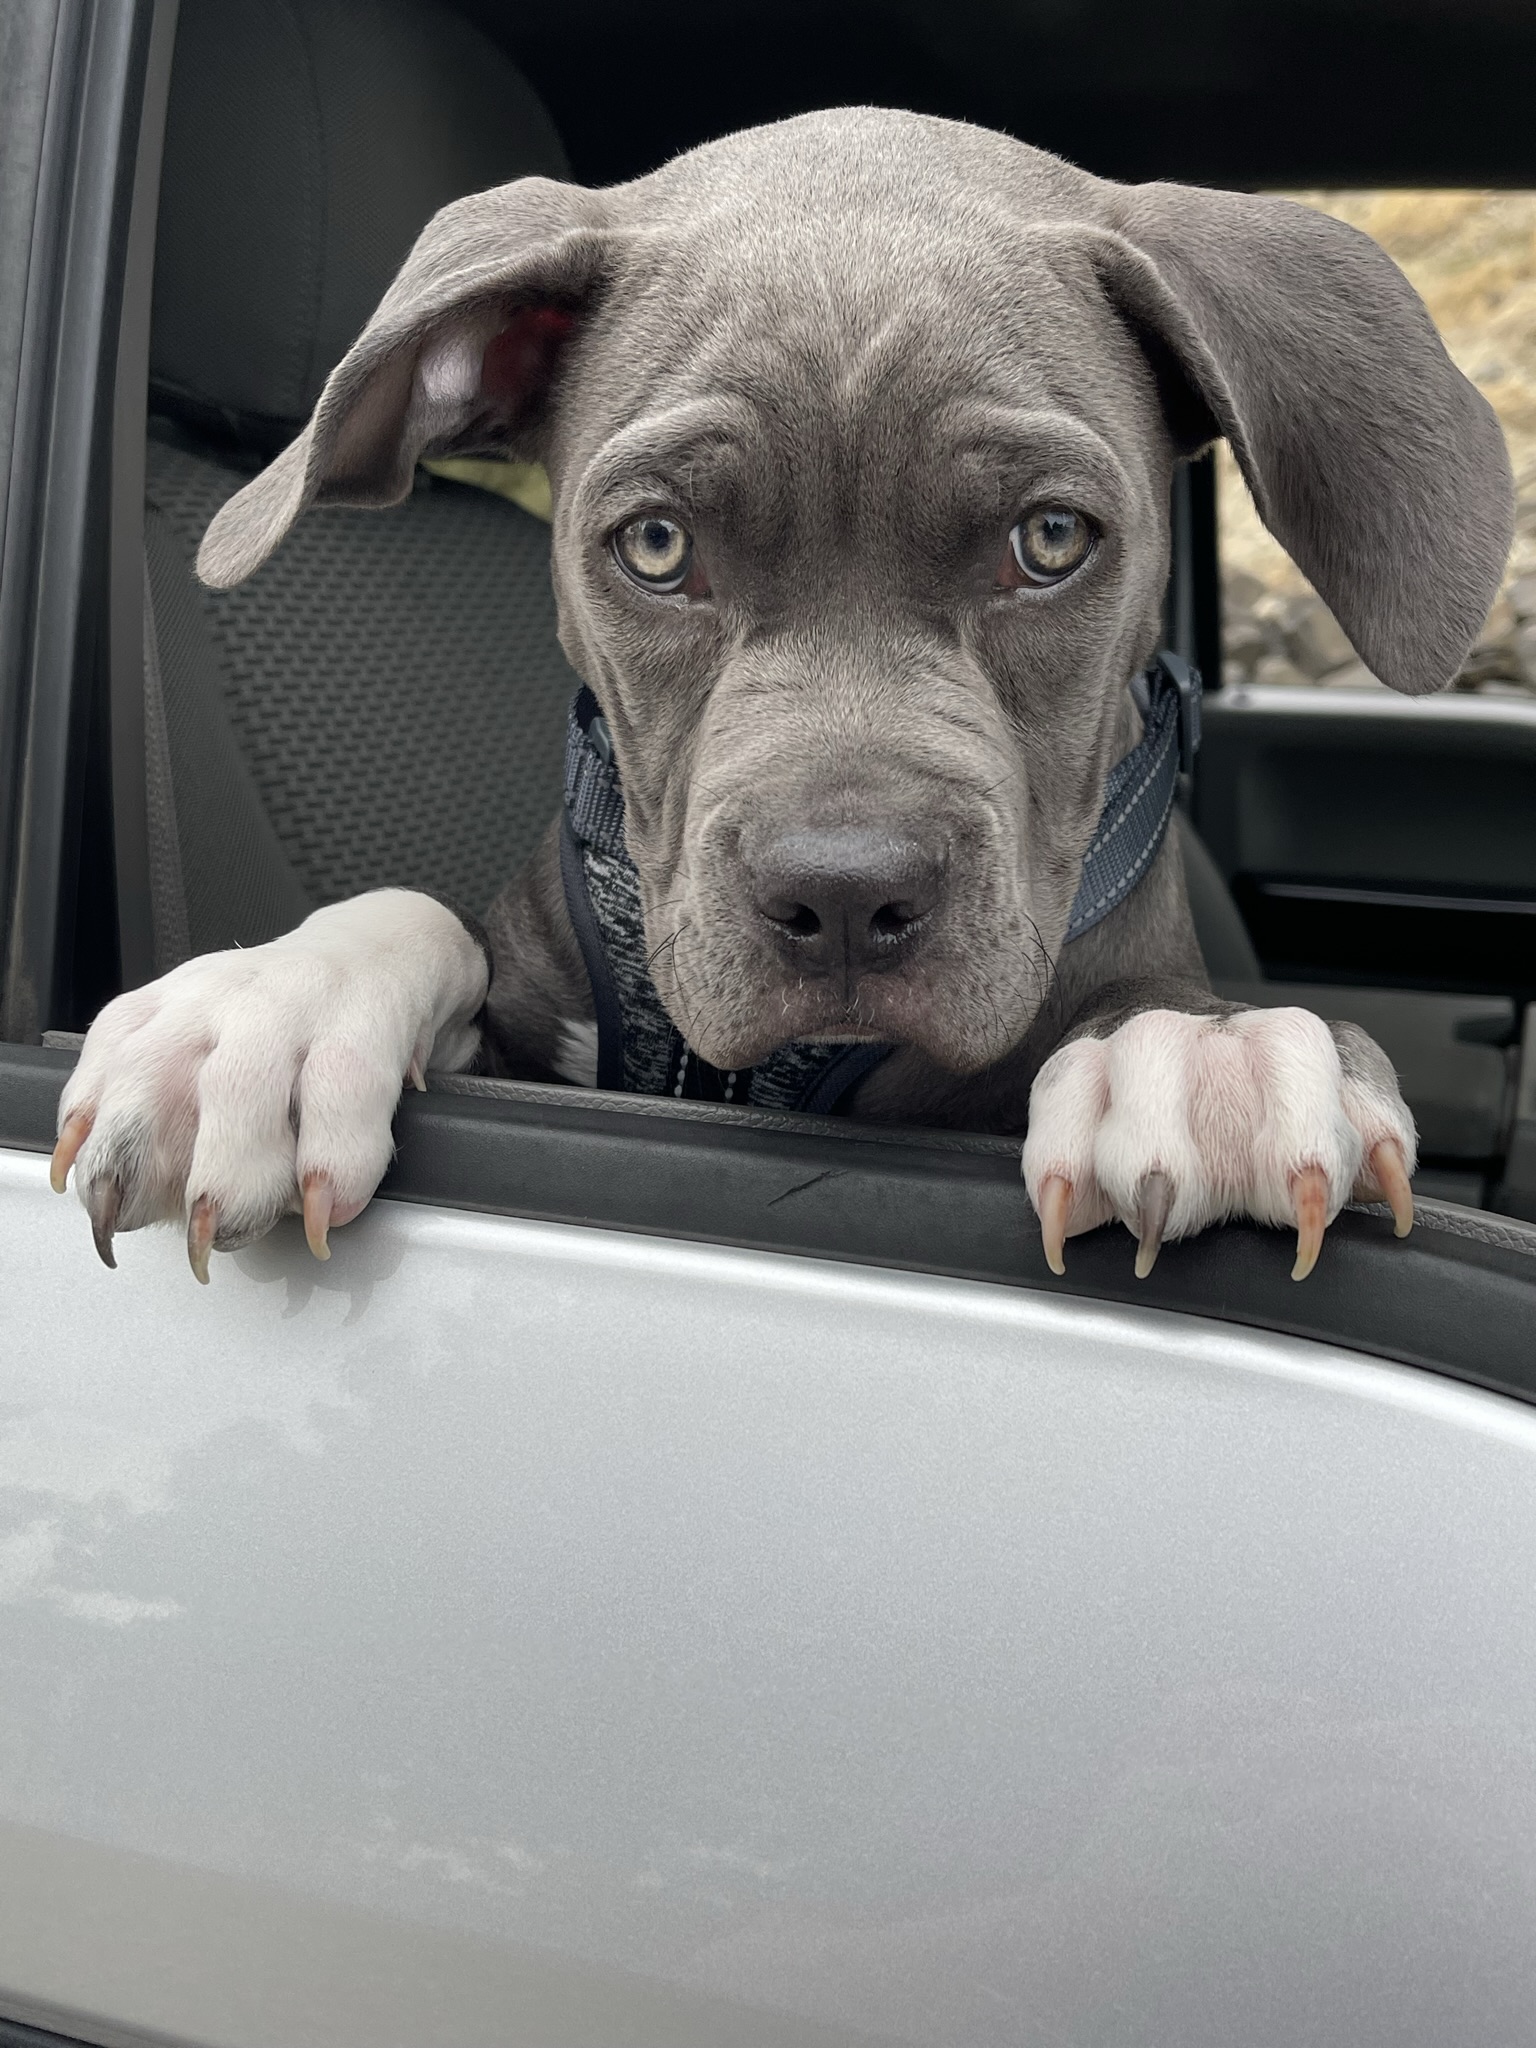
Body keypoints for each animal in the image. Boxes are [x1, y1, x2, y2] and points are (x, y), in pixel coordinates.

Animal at [52, 108, 1513, 1284]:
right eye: (655, 544)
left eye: (1051, 538)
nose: (848, 898)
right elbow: (419, 913)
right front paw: (257, 1013)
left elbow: (1151, 994)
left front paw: (1201, 1049)